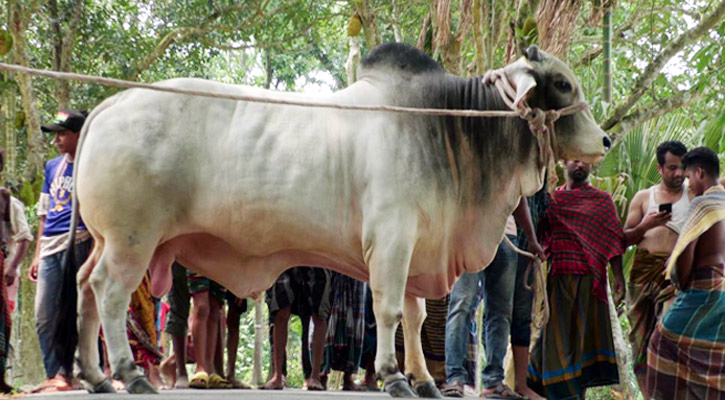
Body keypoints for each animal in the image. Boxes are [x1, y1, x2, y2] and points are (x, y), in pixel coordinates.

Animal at [70, 44, 608, 396]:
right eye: (563, 83)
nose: (604, 141)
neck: (448, 127)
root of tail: (110, 104)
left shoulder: (417, 247)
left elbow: (413, 317)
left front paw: (424, 380)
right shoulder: (392, 240)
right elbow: (389, 312)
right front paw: (393, 377)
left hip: (106, 241)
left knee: (83, 286)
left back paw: (96, 377)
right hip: (132, 240)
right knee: (110, 293)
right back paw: (130, 375)